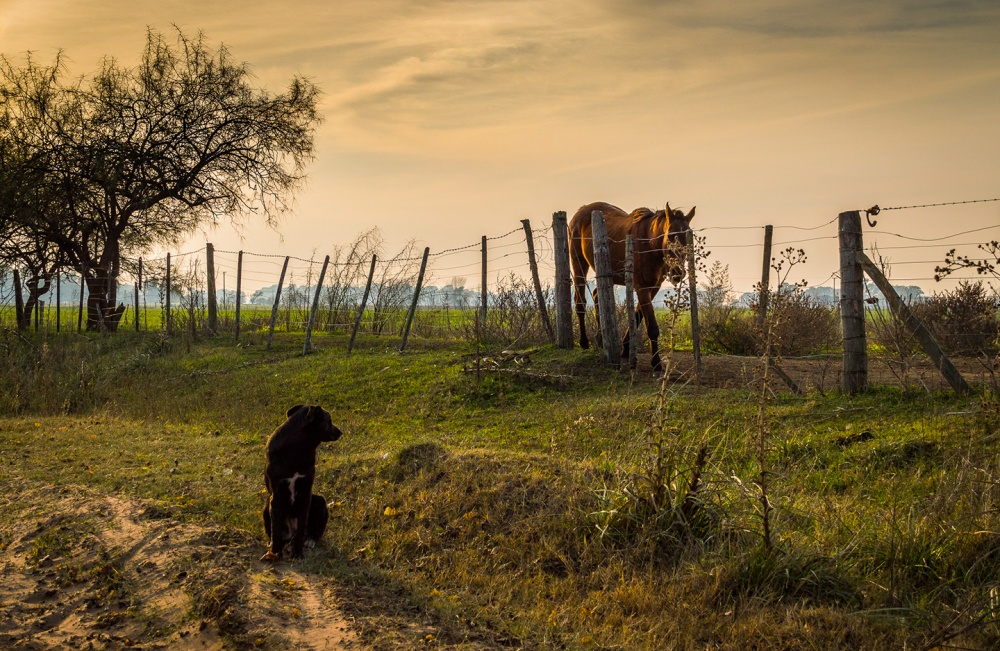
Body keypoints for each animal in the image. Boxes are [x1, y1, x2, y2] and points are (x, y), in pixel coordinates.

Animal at [260, 404, 342, 564]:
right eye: (329, 420)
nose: (340, 432)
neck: (297, 448)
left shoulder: (305, 494)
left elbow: (301, 528)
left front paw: (297, 554)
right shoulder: (276, 496)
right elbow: (275, 529)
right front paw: (276, 553)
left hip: (320, 502)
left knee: (310, 532)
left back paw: (309, 540)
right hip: (267, 506)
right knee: (275, 531)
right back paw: (273, 543)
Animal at [572, 201, 696, 374]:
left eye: (688, 237)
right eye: (670, 235)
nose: (677, 272)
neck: (648, 245)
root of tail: (581, 210)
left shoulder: (652, 288)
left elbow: (637, 318)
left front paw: (624, 352)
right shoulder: (642, 288)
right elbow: (651, 326)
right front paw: (657, 365)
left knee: (597, 295)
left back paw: (601, 340)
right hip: (579, 265)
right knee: (580, 302)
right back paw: (584, 342)